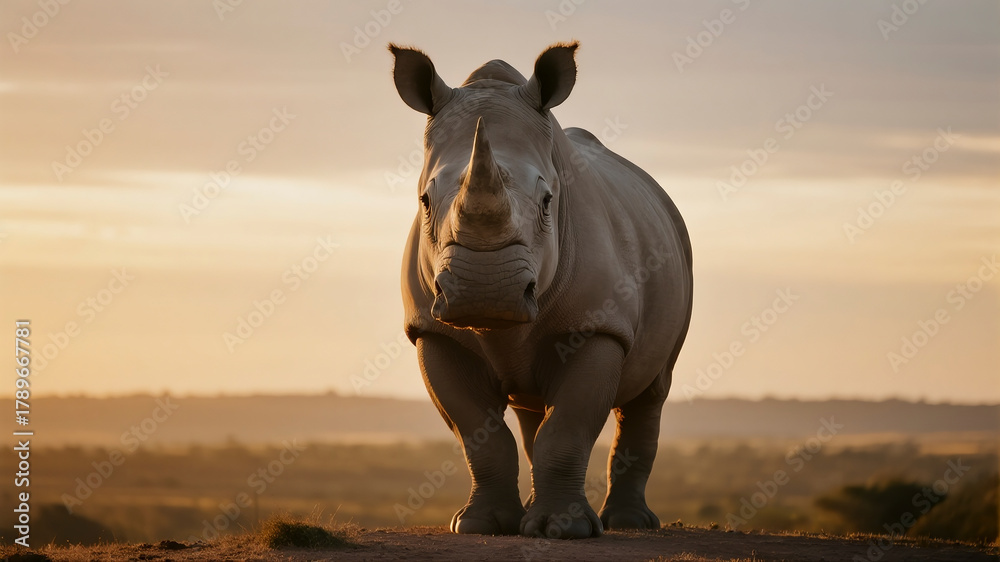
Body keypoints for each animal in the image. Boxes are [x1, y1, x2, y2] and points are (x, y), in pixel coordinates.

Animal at [389, 42, 693, 539]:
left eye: (549, 201)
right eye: (425, 201)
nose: (487, 291)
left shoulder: (598, 326)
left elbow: (568, 428)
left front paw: (566, 530)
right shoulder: (432, 331)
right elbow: (480, 435)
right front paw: (481, 525)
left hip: (677, 249)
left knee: (651, 391)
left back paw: (630, 522)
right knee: (532, 409)